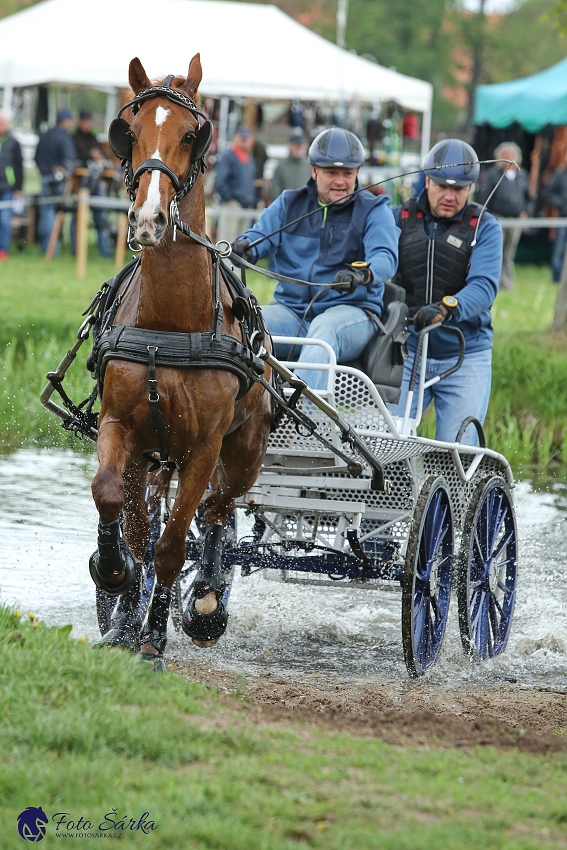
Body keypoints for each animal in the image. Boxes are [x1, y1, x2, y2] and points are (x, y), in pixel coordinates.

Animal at [90, 56, 272, 672]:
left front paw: (153, 639)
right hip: (153, 455)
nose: (147, 219)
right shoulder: (121, 427)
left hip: (243, 452)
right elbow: (118, 509)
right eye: (128, 130)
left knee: (218, 514)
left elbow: (172, 544)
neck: (170, 323)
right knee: (158, 517)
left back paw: (206, 602)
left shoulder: (203, 448)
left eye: (193, 134)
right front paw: (115, 580)